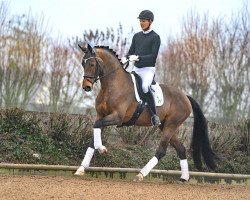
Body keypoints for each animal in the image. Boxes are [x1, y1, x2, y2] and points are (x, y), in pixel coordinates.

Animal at [74, 44, 217, 183]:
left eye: (92, 64)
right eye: (83, 63)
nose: (86, 86)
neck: (112, 85)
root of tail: (185, 97)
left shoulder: (117, 117)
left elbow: (97, 126)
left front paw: (102, 149)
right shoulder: (101, 115)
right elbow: (93, 136)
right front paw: (81, 169)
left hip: (171, 125)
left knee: (161, 151)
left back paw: (141, 175)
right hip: (165, 125)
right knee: (181, 149)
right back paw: (183, 178)